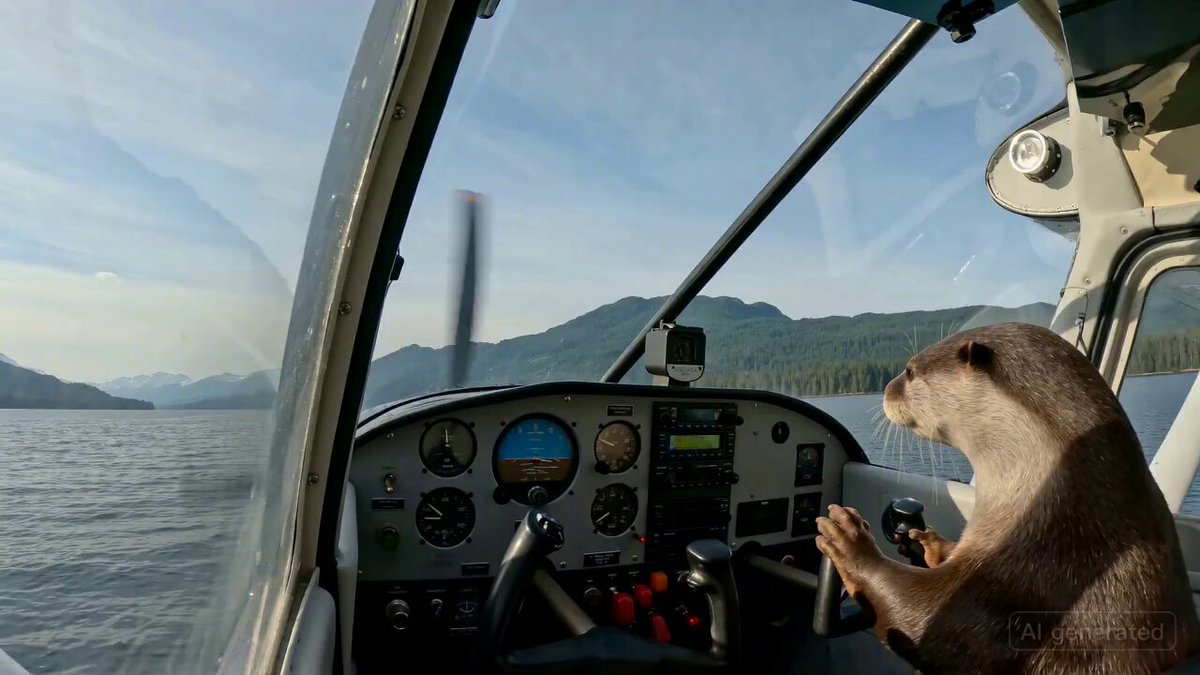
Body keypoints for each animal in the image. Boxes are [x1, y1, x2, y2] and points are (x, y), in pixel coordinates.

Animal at [815, 322, 1200, 674]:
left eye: (910, 371)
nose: (886, 389)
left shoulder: (1027, 583)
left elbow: (922, 618)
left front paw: (849, 538)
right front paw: (932, 543)